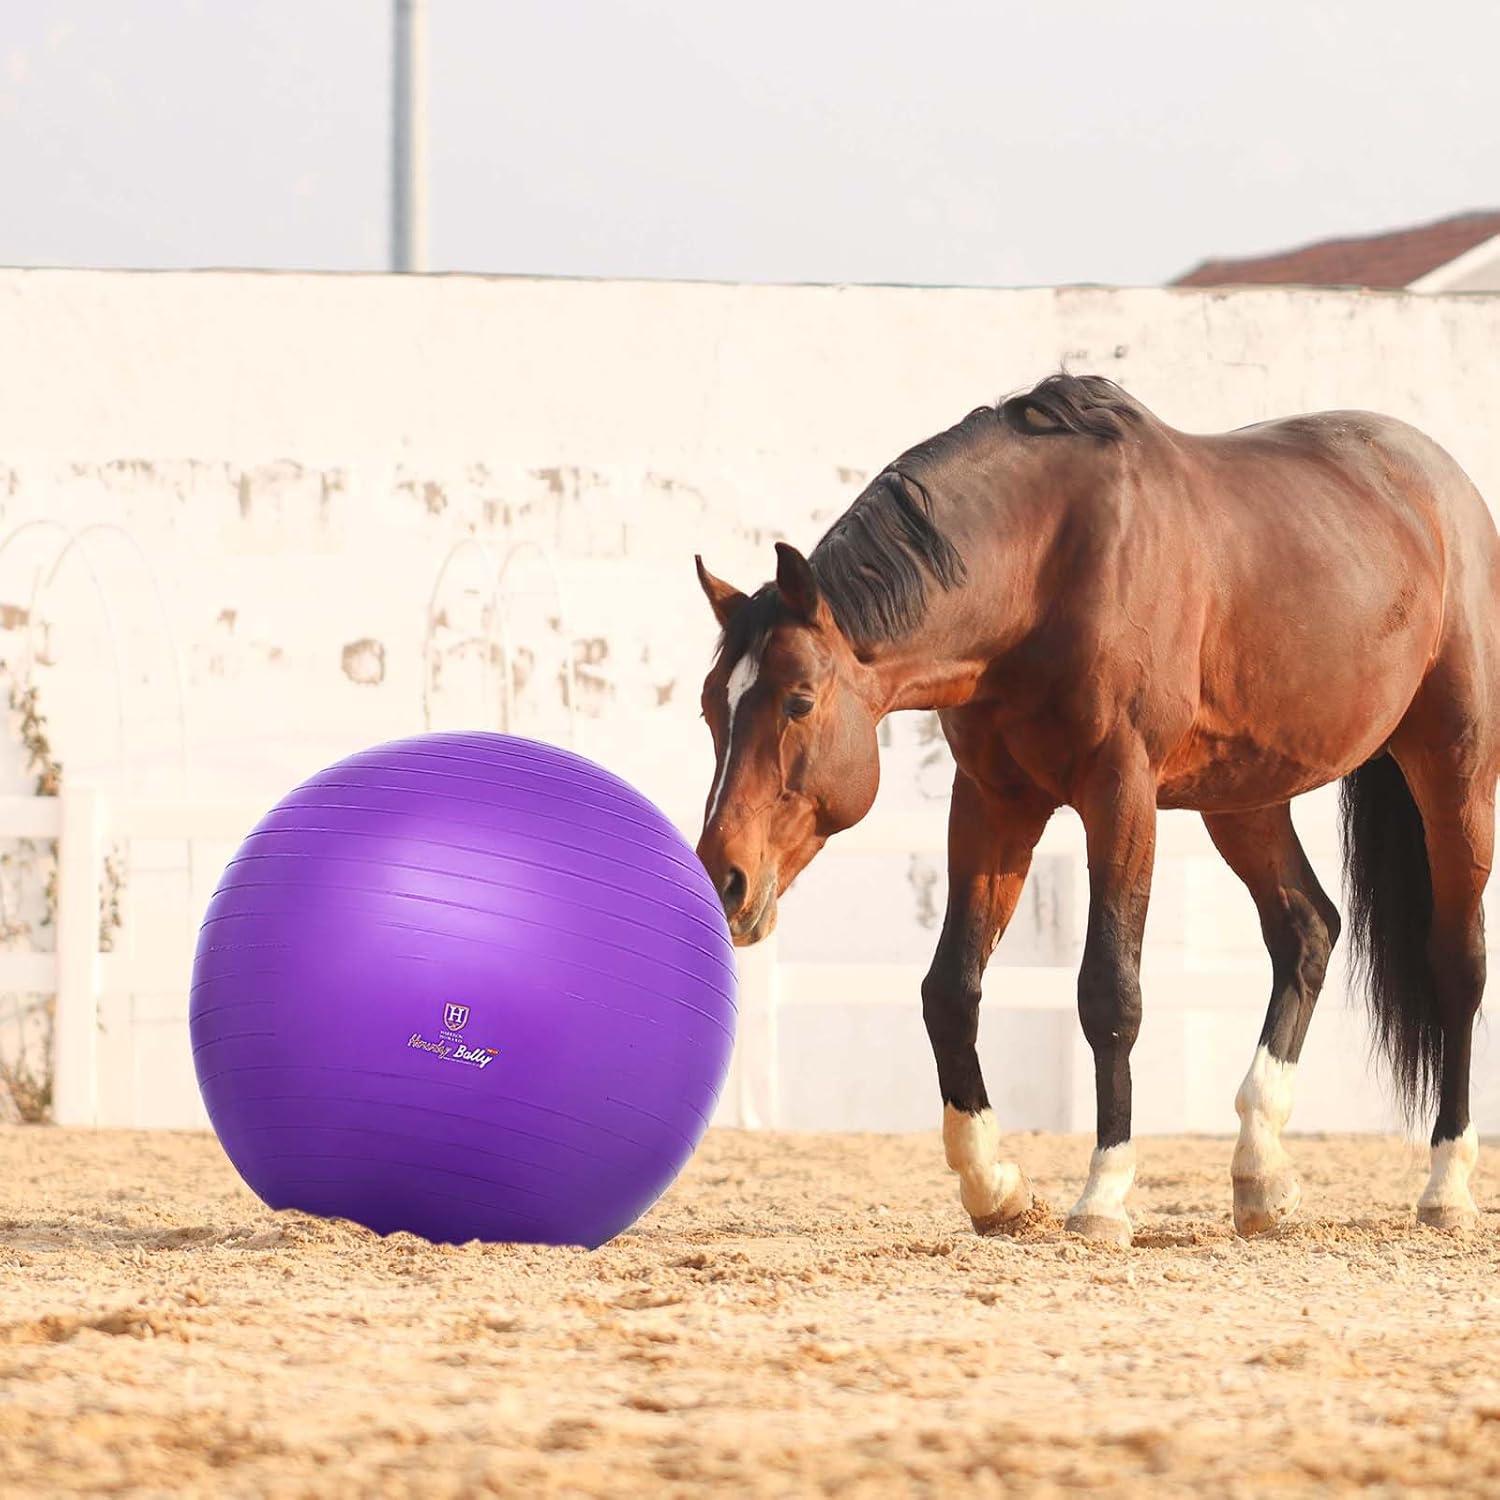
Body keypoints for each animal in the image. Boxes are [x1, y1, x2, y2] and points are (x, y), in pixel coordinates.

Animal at [693, 373, 1496, 1245]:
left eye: (799, 701)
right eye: (710, 708)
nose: (724, 879)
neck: (1047, 566)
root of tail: (1445, 489)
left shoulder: (1120, 791)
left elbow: (1109, 991)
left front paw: (1103, 1196)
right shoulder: (994, 801)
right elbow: (950, 990)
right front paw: (994, 1187)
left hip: (1454, 772)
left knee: (1456, 964)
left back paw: (1446, 1186)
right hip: (1245, 799)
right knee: (1308, 930)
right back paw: (1260, 1173)